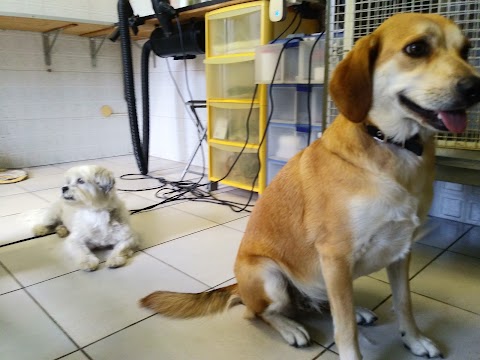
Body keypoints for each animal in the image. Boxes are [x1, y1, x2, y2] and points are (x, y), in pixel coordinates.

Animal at [139, 12, 480, 358]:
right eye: (416, 48)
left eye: (466, 50)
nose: (475, 88)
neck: (391, 145)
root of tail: (239, 286)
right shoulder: (336, 255)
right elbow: (345, 329)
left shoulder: (400, 251)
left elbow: (404, 303)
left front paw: (413, 339)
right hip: (271, 277)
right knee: (260, 313)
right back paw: (291, 327)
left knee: (324, 302)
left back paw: (354, 309)